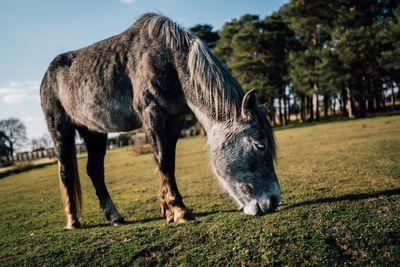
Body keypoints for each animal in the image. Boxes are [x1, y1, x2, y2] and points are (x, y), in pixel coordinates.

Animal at [39, 13, 280, 230]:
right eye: (260, 145)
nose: (273, 200)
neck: (169, 62)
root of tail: (47, 75)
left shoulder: (174, 120)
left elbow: (170, 162)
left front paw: (170, 210)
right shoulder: (152, 115)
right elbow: (163, 161)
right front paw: (178, 210)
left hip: (94, 132)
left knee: (95, 171)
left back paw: (115, 216)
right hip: (60, 129)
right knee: (66, 172)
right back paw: (73, 221)